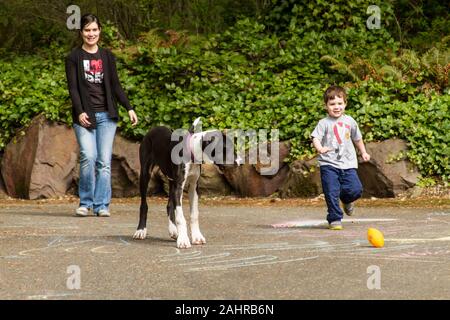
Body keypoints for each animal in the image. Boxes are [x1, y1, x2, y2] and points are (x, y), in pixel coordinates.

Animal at [132, 117, 241, 248]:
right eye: (225, 149)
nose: (240, 162)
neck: (192, 151)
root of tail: (155, 128)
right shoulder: (179, 187)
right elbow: (180, 216)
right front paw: (183, 240)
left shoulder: (194, 187)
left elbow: (194, 214)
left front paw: (196, 237)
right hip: (145, 174)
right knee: (144, 205)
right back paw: (141, 230)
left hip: (171, 181)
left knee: (169, 205)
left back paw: (173, 230)